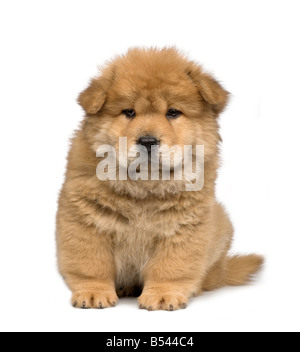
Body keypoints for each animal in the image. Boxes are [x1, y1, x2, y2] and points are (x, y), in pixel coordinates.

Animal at [56, 47, 262, 310]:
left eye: (173, 112)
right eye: (129, 112)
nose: (147, 141)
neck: (145, 185)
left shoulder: (183, 226)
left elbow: (170, 267)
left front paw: (164, 296)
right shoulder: (86, 219)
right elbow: (91, 265)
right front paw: (93, 293)